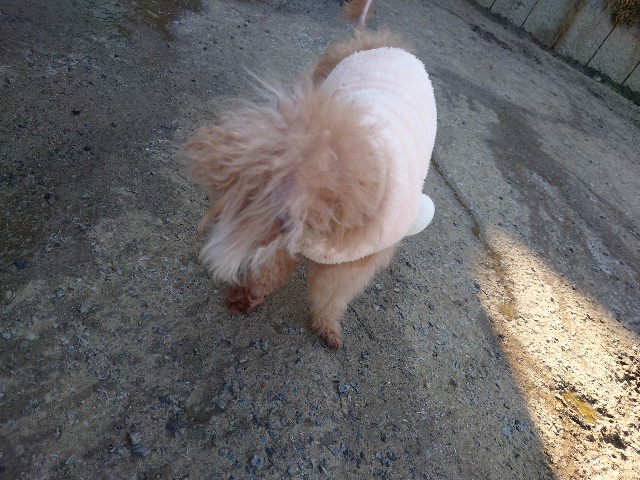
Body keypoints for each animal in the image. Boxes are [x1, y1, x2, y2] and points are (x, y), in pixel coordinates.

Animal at [184, 0, 437, 349]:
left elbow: (332, 295)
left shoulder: (351, 265)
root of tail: (378, 42)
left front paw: (326, 325)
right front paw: (248, 296)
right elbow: (269, 272)